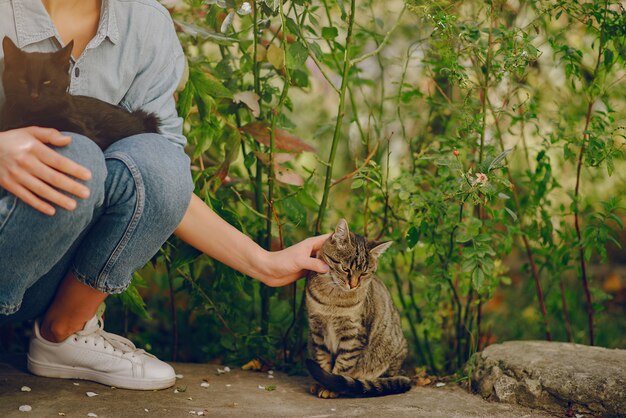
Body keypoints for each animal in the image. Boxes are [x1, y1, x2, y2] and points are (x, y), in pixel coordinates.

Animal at [306, 219, 412, 398]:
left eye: (364, 273)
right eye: (345, 268)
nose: (353, 285)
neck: (332, 300)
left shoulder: (353, 334)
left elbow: (343, 364)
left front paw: (329, 387)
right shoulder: (317, 328)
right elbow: (322, 358)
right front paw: (320, 382)